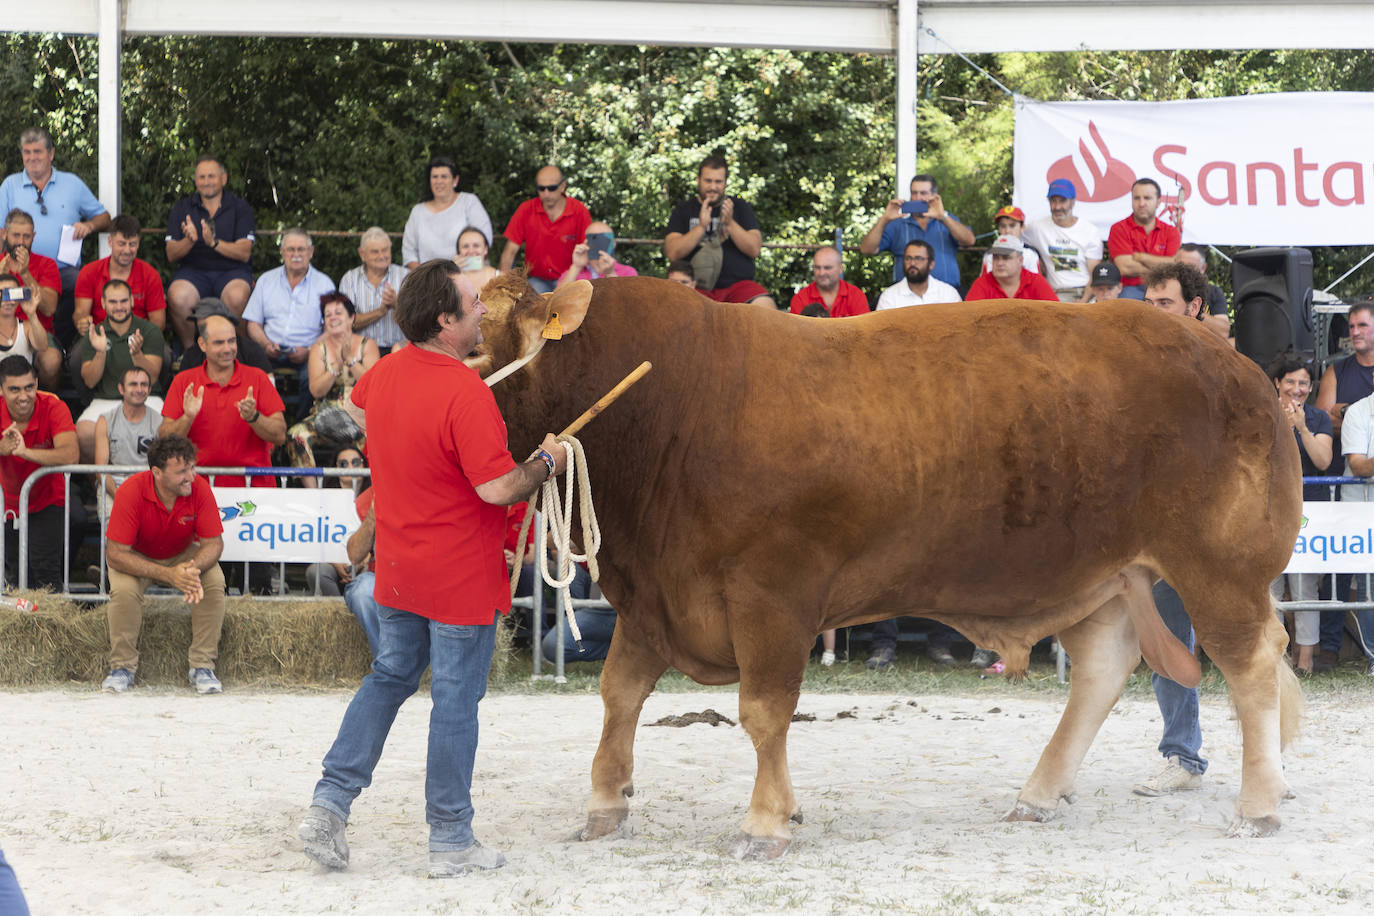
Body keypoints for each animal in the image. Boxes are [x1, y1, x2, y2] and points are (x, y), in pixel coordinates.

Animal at [469, 271, 1297, 862]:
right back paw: (1038, 792)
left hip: (1219, 568)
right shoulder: (655, 593)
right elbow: (619, 694)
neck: (676, 398)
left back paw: (1258, 807)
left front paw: (765, 821)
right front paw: (605, 805)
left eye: (480, 335)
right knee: (1101, 671)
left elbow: (762, 710)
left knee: (1253, 666)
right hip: (1103, 576)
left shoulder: (772, 593)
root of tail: (1235, 363)